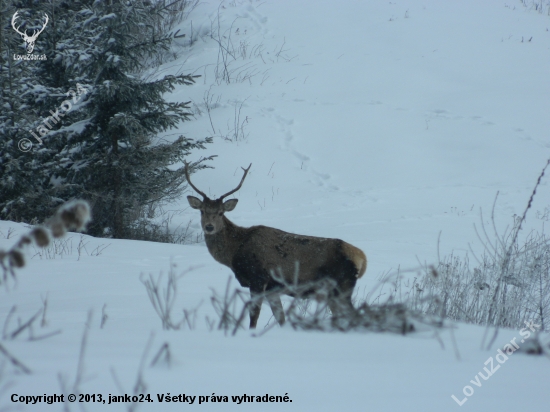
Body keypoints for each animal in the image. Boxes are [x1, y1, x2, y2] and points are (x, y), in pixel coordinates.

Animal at [187, 163, 370, 326]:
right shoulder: (272, 288)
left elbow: (254, 317)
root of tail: (362, 258)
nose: (209, 227)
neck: (235, 252)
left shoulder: (258, 278)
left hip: (341, 286)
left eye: (220, 212)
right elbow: (280, 318)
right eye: (202, 211)